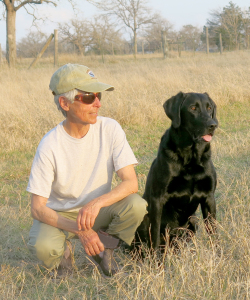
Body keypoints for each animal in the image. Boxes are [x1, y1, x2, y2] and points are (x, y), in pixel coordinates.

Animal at [136, 92, 218, 251]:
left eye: (209, 107)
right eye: (193, 108)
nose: (213, 125)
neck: (191, 158)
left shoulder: (209, 197)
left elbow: (213, 232)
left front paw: (218, 253)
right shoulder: (158, 198)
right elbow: (155, 235)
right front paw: (155, 258)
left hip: (193, 221)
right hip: (145, 218)